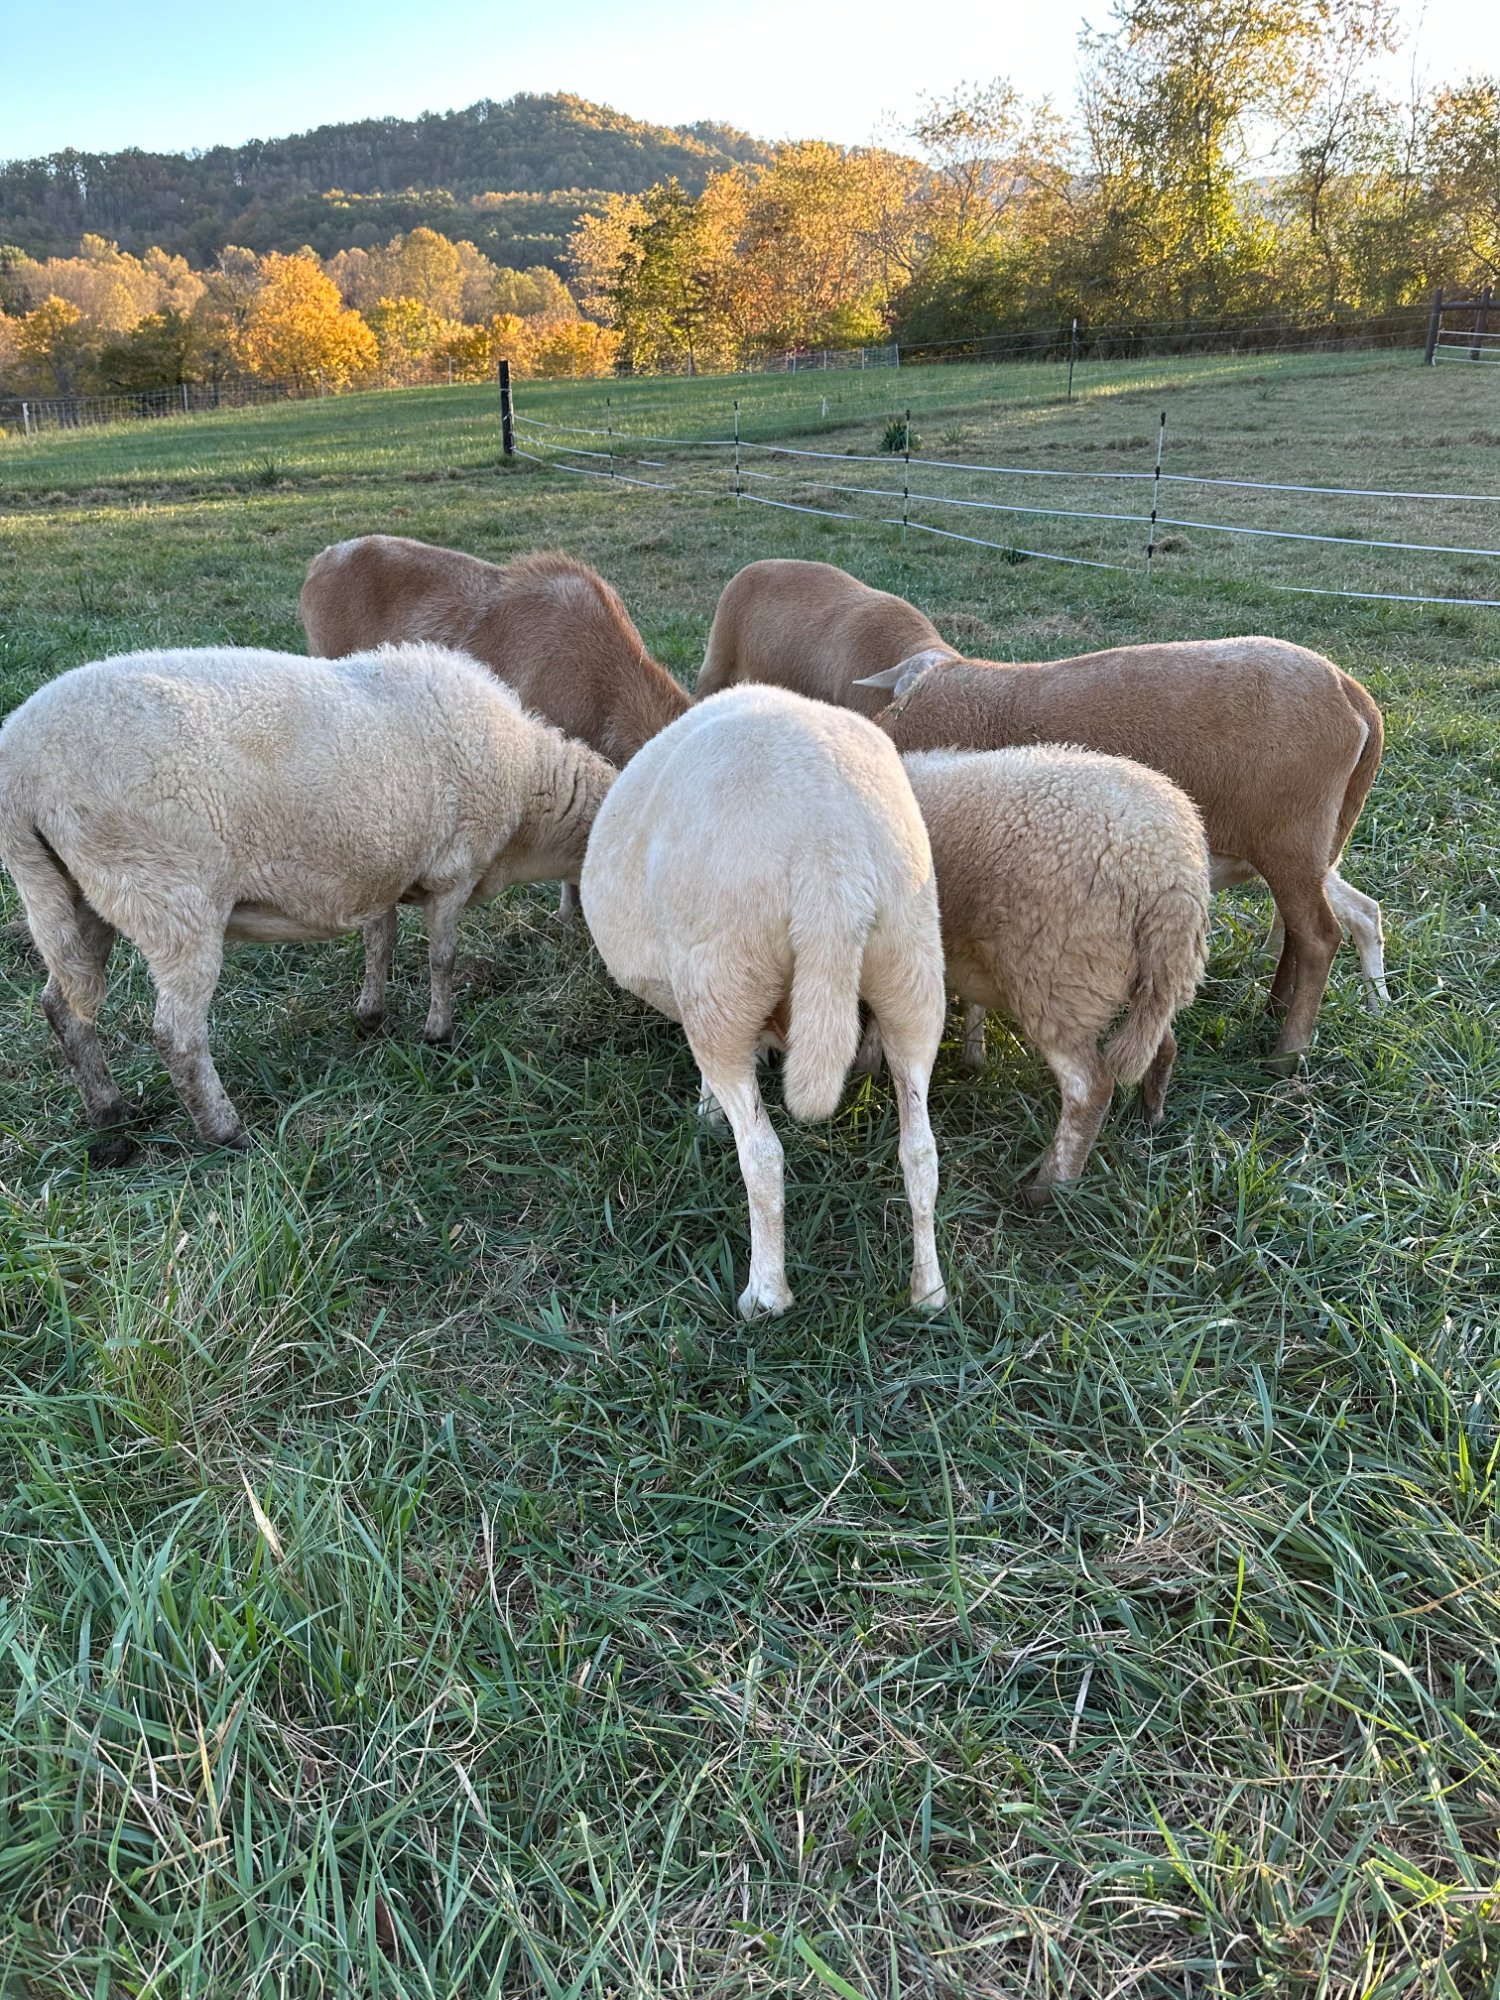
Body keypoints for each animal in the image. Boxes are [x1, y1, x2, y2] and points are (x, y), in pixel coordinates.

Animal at [0, 642, 616, 1160]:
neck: (528, 784)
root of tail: (19, 776)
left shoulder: (382, 870)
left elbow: (380, 941)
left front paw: (371, 1017)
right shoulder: (453, 872)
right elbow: (442, 958)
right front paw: (439, 1034)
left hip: (75, 893)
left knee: (64, 1007)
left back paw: (110, 1115)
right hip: (168, 893)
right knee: (176, 1034)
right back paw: (224, 1131)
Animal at [580, 684, 947, 1319]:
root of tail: (830, 849)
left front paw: (704, 1112)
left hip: (722, 977)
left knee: (762, 1155)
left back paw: (765, 1294)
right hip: (913, 966)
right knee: (920, 1151)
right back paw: (928, 1291)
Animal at [858, 745, 1211, 1202]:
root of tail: (1171, 880)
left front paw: (866, 1070)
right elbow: (966, 1004)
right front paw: (973, 1058)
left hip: (1056, 981)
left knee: (1090, 1089)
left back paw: (1046, 1189)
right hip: (1151, 980)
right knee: (1162, 1046)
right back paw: (1150, 1117)